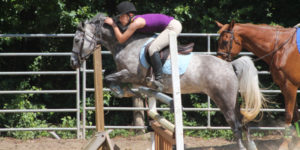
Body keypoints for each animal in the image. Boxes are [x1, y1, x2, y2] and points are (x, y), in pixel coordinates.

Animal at [71, 13, 266, 150]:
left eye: (77, 40)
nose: (73, 63)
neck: (126, 43)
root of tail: (229, 65)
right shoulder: (130, 76)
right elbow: (110, 75)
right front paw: (125, 91)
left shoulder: (133, 74)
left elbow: (109, 77)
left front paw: (119, 90)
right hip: (231, 99)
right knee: (243, 122)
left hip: (223, 99)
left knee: (236, 124)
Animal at [216, 20, 300, 149]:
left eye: (225, 41)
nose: (219, 61)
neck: (283, 47)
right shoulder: (285, 87)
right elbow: (295, 115)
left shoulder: (290, 86)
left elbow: (289, 115)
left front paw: (285, 144)